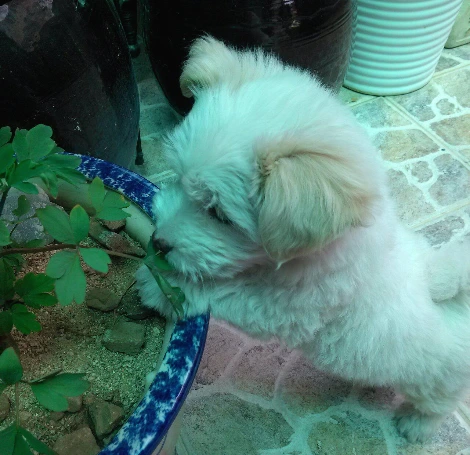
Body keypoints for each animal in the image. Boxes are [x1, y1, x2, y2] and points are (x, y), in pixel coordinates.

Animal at [136, 36, 470, 443]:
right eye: (178, 179)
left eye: (219, 215)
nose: (158, 241)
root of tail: (453, 294)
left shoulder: (282, 307)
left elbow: (224, 292)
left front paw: (159, 285)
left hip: (438, 382)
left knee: (438, 404)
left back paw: (415, 426)